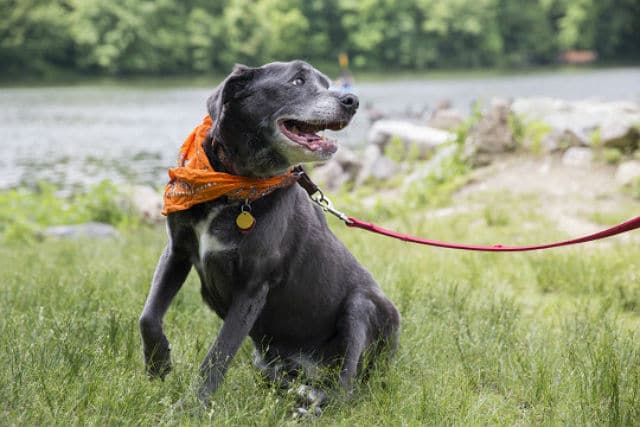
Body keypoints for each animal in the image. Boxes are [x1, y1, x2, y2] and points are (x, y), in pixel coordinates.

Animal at [139, 61, 400, 412]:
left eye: (326, 82)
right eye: (298, 80)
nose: (352, 101)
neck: (235, 186)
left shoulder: (252, 286)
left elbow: (218, 353)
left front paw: (191, 406)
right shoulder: (177, 251)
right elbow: (148, 315)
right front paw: (158, 365)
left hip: (363, 306)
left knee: (345, 390)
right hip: (267, 361)